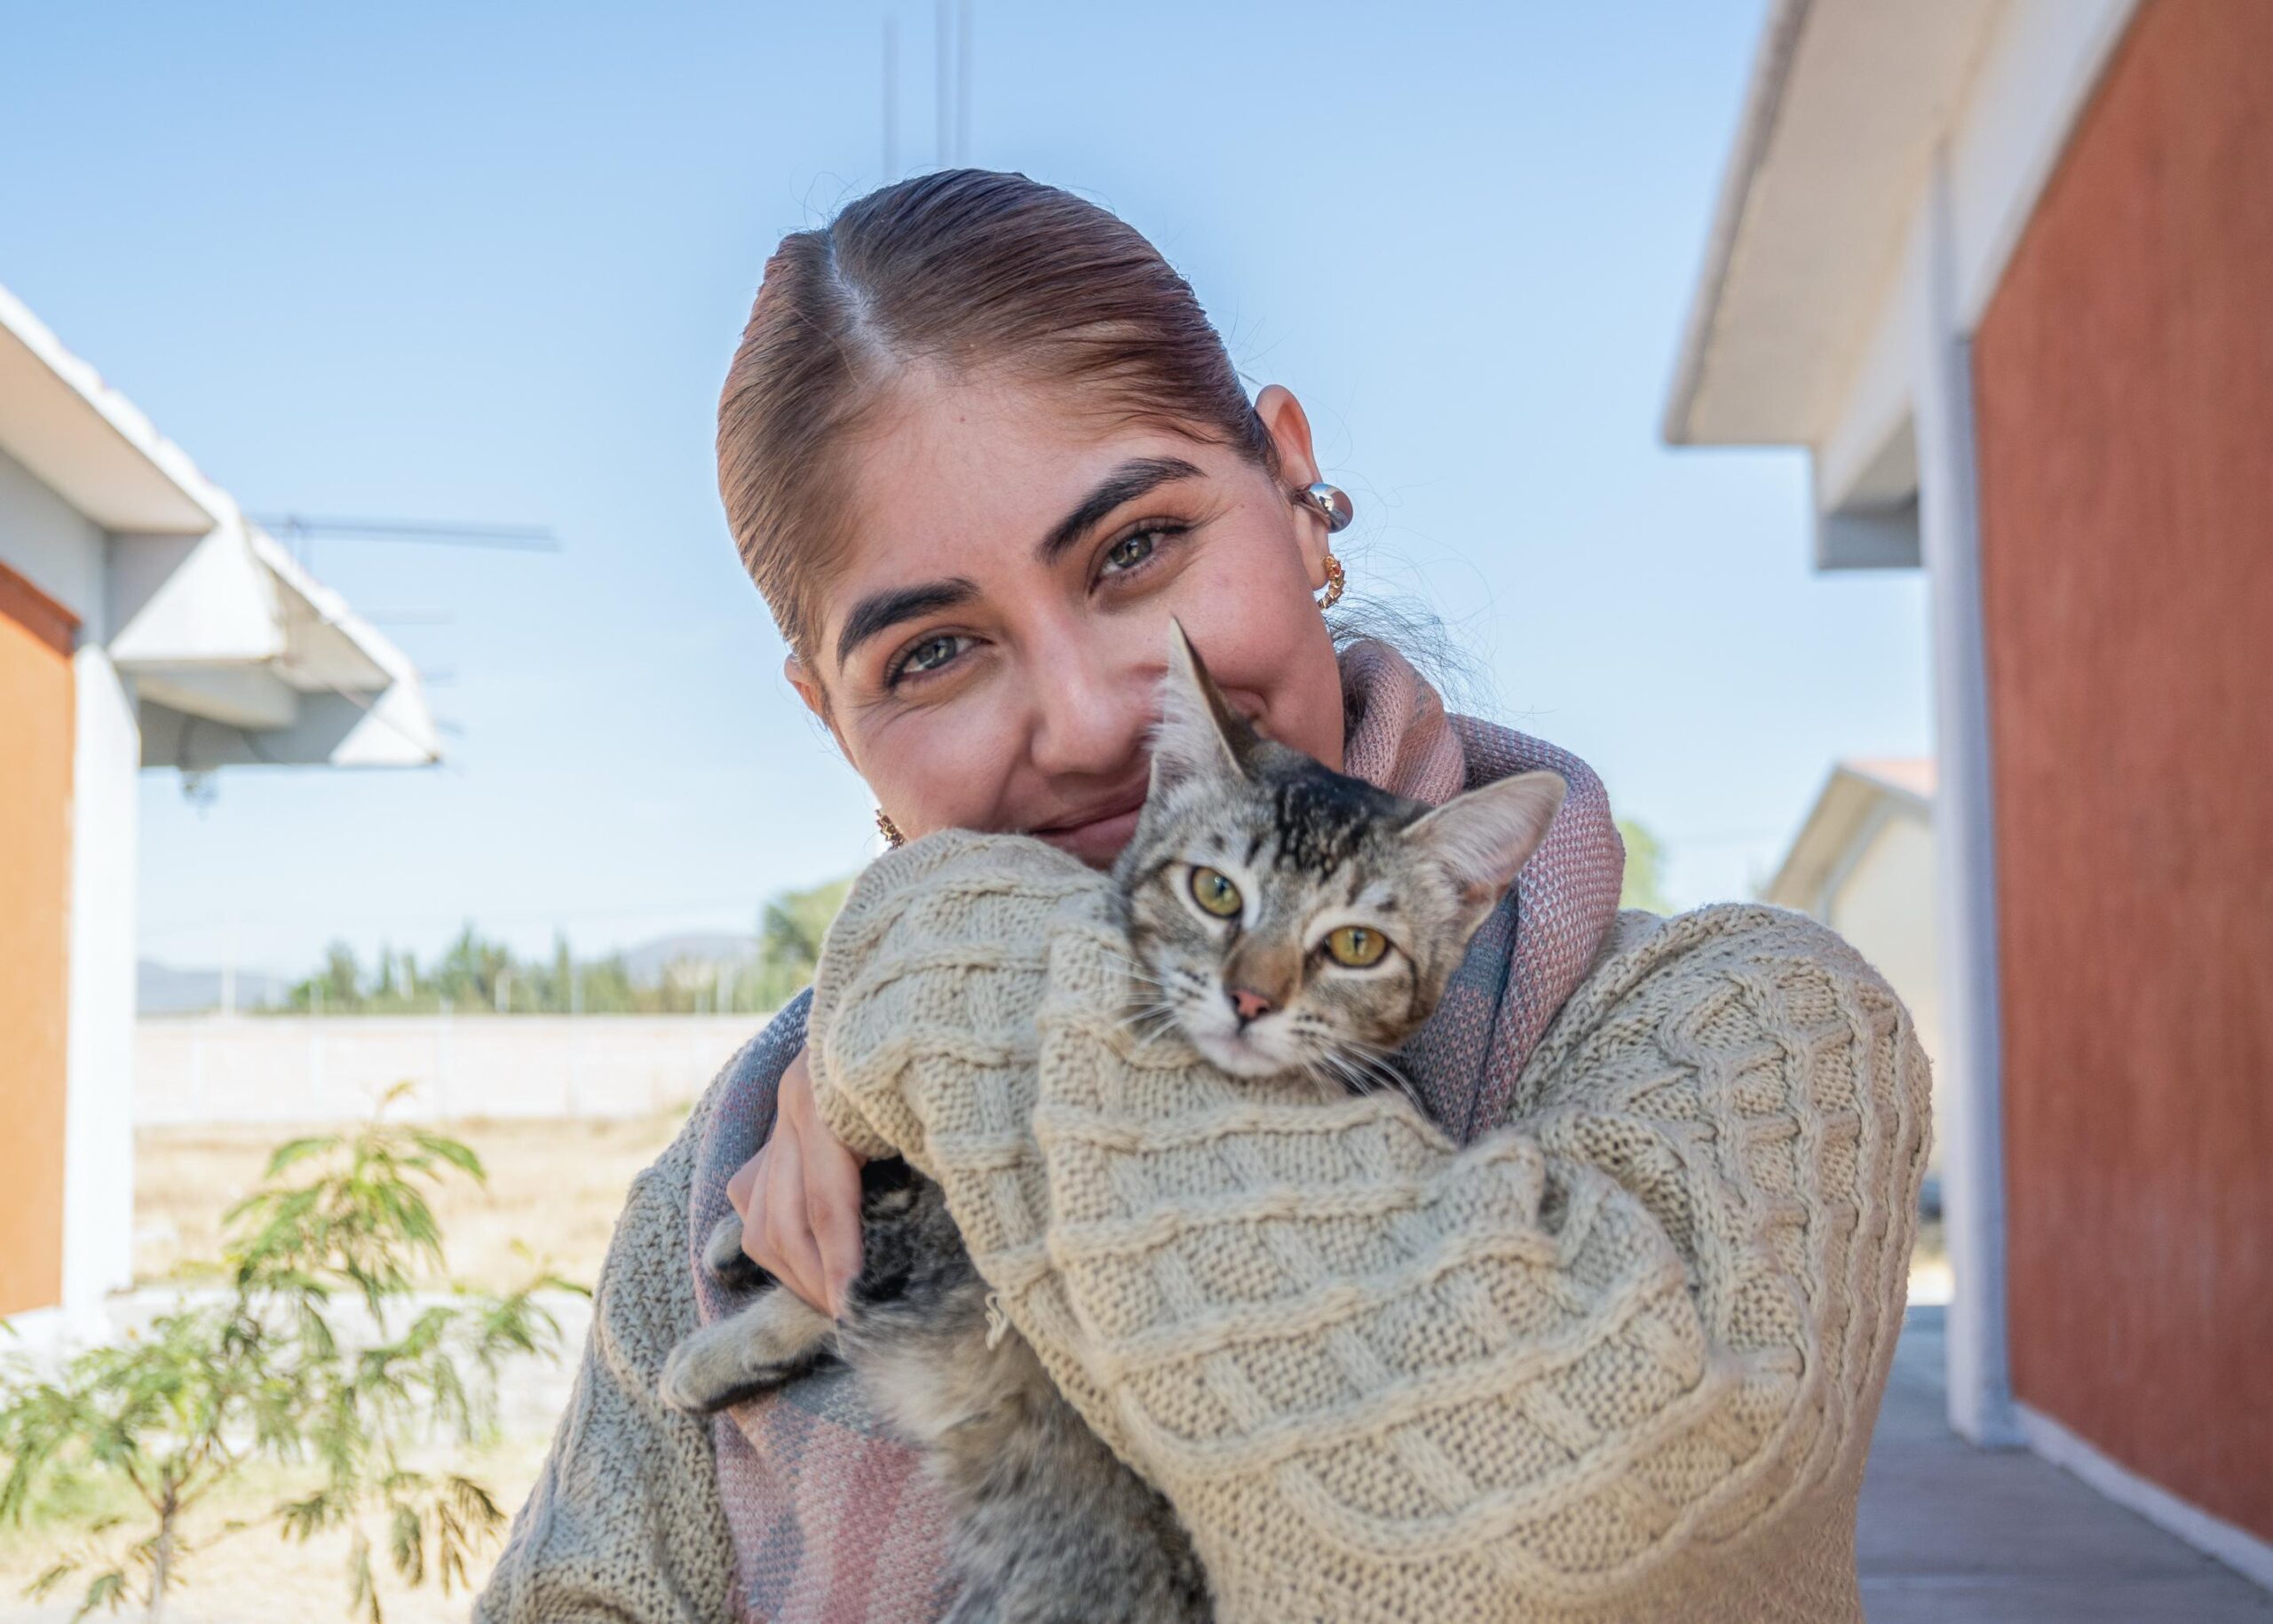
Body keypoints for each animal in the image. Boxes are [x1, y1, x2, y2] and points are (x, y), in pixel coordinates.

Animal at [659, 622, 1564, 1619]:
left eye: (1356, 945)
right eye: (1216, 891)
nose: (1251, 997)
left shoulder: (962, 1258)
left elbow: (850, 1257)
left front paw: (726, 1334)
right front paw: (740, 1240)